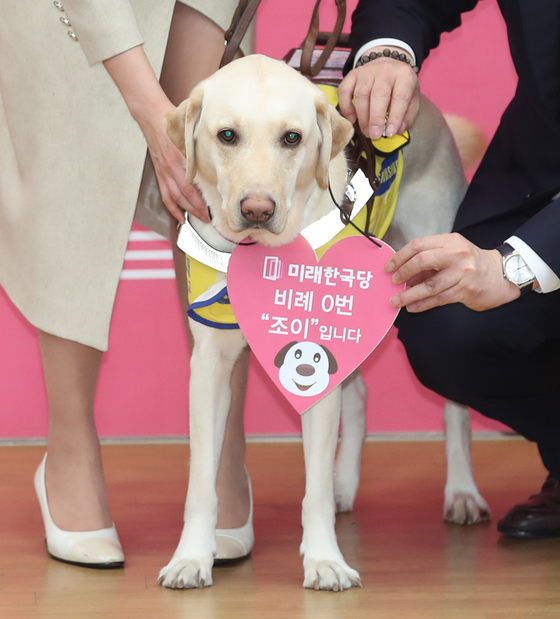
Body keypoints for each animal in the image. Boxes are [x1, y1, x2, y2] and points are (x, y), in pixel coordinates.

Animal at [159, 55, 490, 592]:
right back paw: (344, 484)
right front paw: (191, 558)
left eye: (292, 138)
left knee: (454, 409)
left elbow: (310, 490)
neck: (265, 255)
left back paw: (461, 491)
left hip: (439, 282)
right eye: (226, 135)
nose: (257, 209)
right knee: (357, 398)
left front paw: (324, 561)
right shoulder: (208, 366)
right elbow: (201, 484)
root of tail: (427, 107)